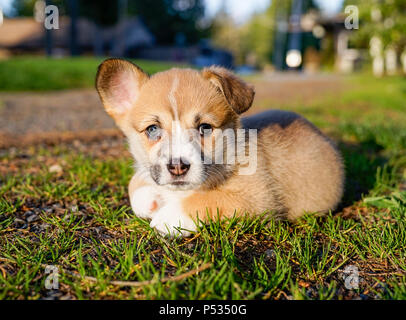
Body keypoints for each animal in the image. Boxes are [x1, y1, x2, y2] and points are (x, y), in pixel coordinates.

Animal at [96, 58, 346, 236]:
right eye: (152, 129)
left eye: (205, 127)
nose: (177, 167)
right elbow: (134, 185)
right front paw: (151, 198)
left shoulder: (256, 198)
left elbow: (209, 201)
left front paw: (168, 216)